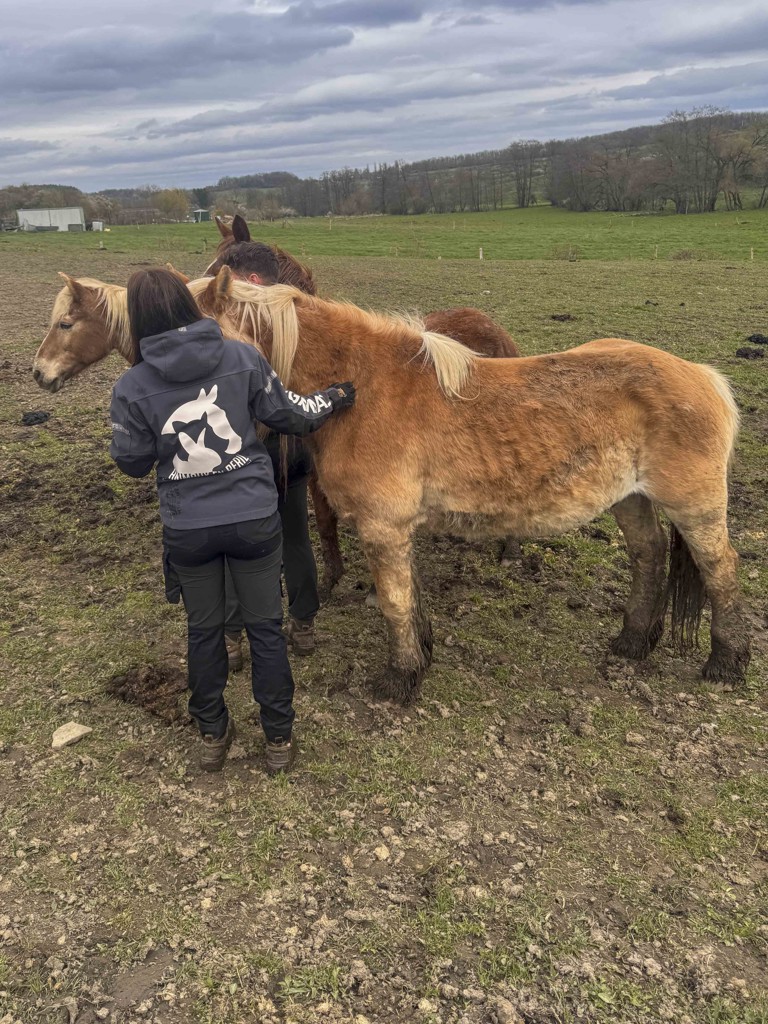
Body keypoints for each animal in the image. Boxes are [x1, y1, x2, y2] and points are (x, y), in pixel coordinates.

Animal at [179, 267, 749, 704]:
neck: (361, 389)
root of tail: (703, 376)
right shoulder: (396, 527)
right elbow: (411, 596)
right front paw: (420, 658)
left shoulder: (382, 526)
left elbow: (394, 601)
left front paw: (398, 680)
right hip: (629, 498)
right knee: (648, 554)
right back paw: (633, 640)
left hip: (694, 506)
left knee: (719, 568)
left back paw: (726, 662)